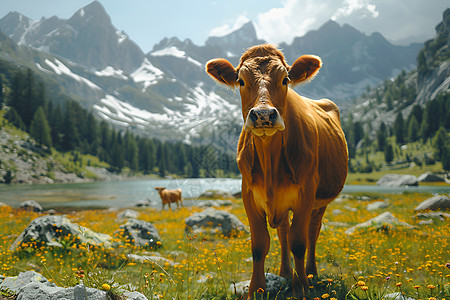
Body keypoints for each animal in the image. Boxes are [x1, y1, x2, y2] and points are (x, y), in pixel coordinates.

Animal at [206, 44, 350, 298]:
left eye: (285, 79)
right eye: (241, 81)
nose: (263, 115)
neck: (269, 159)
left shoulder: (307, 192)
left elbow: (299, 242)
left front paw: (302, 288)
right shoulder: (248, 193)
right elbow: (259, 244)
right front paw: (257, 289)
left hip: (321, 200)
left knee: (312, 231)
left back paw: (310, 274)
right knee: (283, 231)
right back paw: (285, 272)